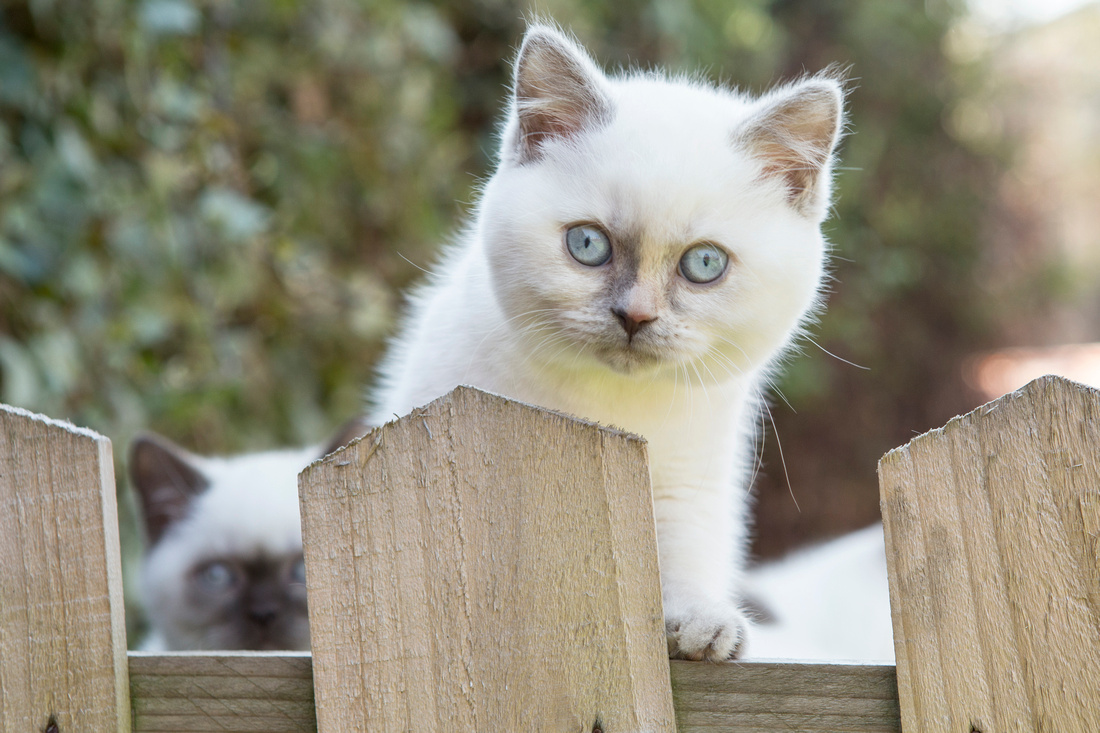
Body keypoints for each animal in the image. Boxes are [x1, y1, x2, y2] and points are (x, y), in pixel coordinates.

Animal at [369, 25, 840, 660]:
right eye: (588, 244)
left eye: (705, 264)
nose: (635, 316)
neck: (612, 407)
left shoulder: (692, 478)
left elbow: (681, 554)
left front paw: (701, 623)